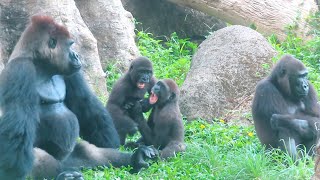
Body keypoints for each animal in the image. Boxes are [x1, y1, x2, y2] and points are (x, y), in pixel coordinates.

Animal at [0, 15, 158, 180]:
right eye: (70, 46)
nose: (77, 56)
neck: (41, 63)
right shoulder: (21, 70)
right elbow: (18, 126)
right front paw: (13, 171)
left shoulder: (70, 71)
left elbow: (85, 104)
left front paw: (110, 140)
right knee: (40, 157)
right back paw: (63, 175)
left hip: (71, 157)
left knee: (88, 152)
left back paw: (135, 159)